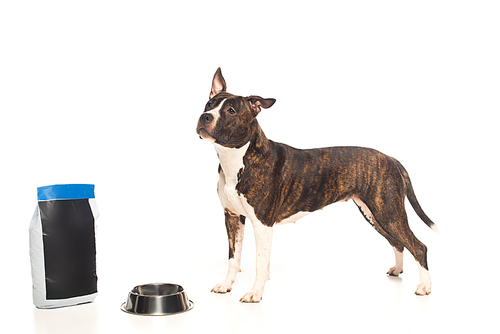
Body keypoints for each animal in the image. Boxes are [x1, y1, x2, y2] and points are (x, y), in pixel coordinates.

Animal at [196, 68, 438, 302]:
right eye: (209, 104)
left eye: (231, 111)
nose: (205, 116)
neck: (237, 158)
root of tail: (392, 159)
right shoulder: (233, 217)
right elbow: (233, 258)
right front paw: (226, 286)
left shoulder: (262, 224)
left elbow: (260, 262)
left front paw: (255, 293)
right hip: (375, 213)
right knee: (398, 242)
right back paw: (397, 270)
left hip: (389, 213)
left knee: (418, 246)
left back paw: (425, 287)